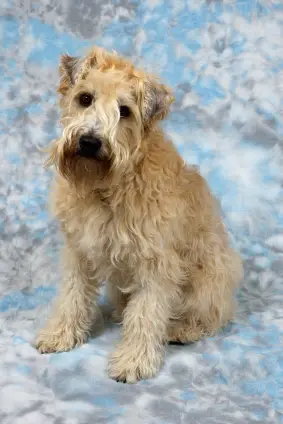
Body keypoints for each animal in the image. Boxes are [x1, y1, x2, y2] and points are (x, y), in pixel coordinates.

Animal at [36, 44, 244, 382]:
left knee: (212, 316)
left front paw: (133, 361)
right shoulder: (79, 251)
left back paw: (183, 329)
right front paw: (60, 335)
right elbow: (72, 296)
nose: (90, 142)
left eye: (124, 111)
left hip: (211, 275)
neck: (106, 189)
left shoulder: (156, 263)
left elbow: (146, 313)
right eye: (85, 98)